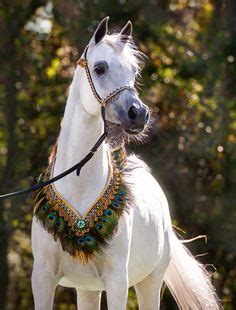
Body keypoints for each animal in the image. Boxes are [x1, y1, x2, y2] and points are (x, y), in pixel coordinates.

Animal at [30, 17, 219, 310]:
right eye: (100, 68)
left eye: (134, 71)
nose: (138, 114)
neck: (79, 187)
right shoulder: (42, 278)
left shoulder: (118, 281)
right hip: (87, 289)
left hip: (150, 281)